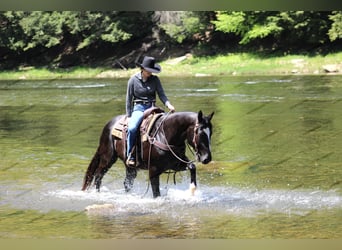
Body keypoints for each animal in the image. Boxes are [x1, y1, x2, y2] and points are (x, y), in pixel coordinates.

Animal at [81, 109, 214, 197]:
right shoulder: (154, 170)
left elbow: (192, 166)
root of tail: (109, 124)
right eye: (199, 132)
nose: (207, 158)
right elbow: (156, 192)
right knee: (98, 175)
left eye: (210, 133)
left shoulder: (177, 164)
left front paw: (192, 189)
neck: (165, 135)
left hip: (130, 166)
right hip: (108, 158)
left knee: (127, 183)